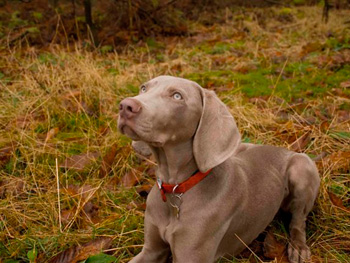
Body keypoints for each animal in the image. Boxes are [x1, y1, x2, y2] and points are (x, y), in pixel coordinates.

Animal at [117, 76, 320, 263]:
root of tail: (283, 149)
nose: (125, 106)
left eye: (177, 96)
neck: (176, 188)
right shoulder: (151, 250)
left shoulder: (191, 257)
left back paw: (298, 248)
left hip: (302, 165)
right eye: (144, 88)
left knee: (298, 220)